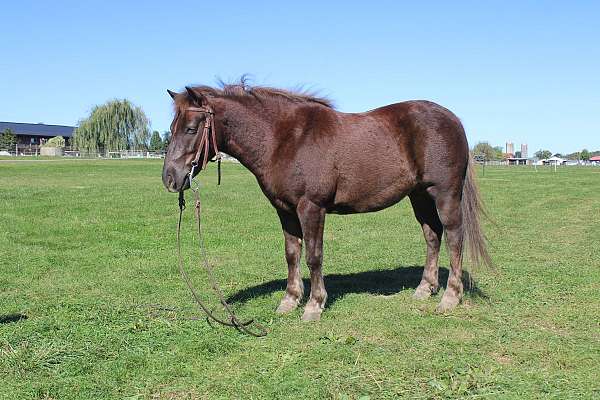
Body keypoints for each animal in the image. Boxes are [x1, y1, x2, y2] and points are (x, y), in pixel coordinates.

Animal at [162, 81, 490, 322]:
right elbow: (292, 255)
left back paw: (450, 297)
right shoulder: (285, 211)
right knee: (432, 236)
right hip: (419, 196)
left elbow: (313, 256)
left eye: (191, 128)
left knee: (454, 238)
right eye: (172, 128)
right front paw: (289, 301)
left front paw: (313, 306)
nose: (170, 178)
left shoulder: (311, 208)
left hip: (444, 194)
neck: (285, 139)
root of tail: (452, 119)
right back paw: (425, 289)